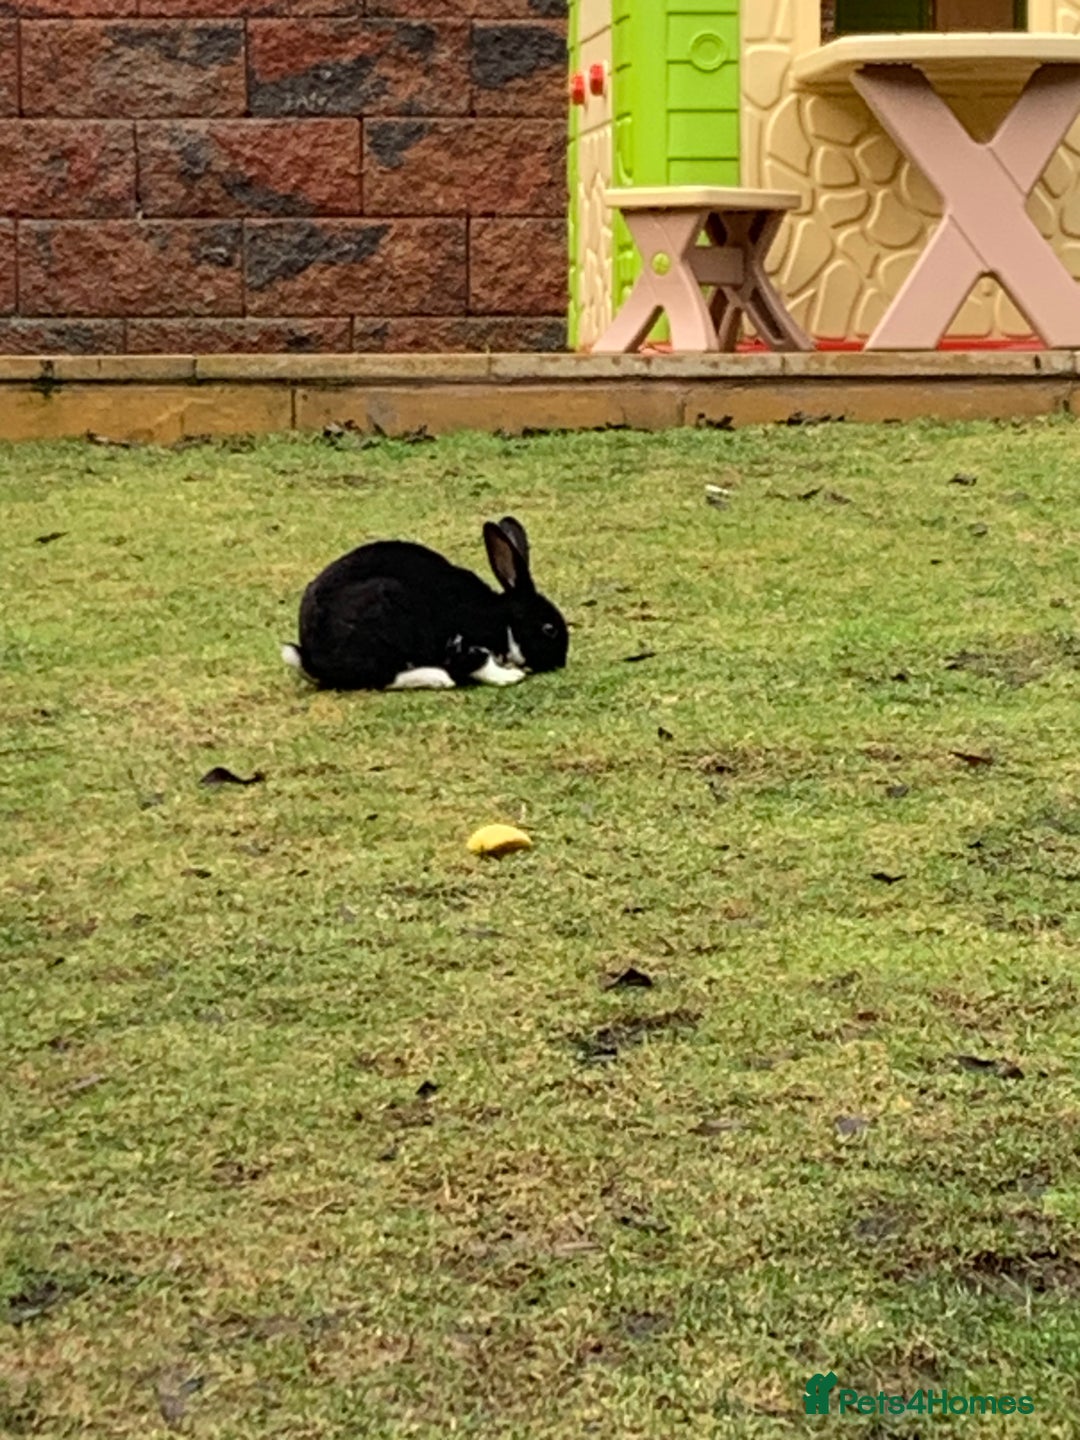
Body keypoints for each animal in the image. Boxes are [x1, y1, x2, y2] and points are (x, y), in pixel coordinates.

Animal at [281, 515, 569, 691]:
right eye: (549, 629)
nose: (560, 662)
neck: (501, 619)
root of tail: (314, 661)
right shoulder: (462, 642)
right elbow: (479, 662)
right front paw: (510, 676)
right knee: (383, 677)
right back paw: (438, 678)